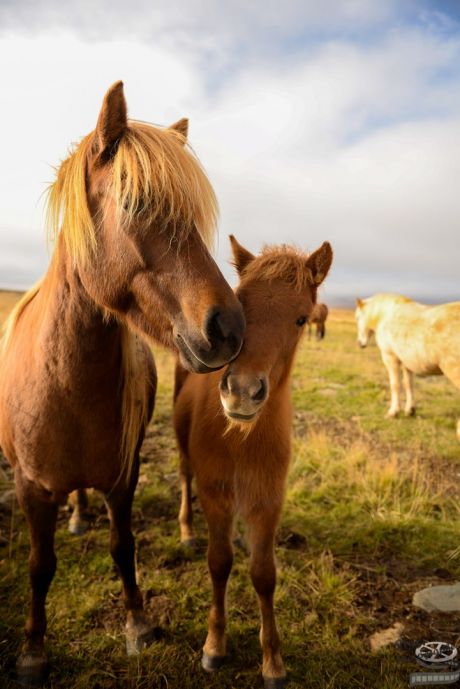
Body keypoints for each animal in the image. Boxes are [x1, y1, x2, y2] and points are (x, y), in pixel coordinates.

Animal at [0, 80, 244, 684]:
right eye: (133, 203)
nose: (230, 329)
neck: (64, 388)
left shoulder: (122, 476)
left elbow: (123, 545)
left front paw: (137, 623)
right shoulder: (30, 487)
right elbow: (39, 566)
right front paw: (33, 649)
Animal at [172, 234, 330, 684]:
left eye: (301, 319)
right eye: (240, 304)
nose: (242, 391)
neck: (242, 440)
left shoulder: (268, 500)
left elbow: (264, 575)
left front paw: (272, 661)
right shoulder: (216, 494)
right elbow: (219, 562)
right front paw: (214, 645)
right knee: (184, 478)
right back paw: (187, 531)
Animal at [356, 294, 460, 436]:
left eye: (357, 318)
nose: (360, 343)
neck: (384, 315)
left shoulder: (390, 358)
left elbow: (395, 385)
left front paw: (393, 412)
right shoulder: (406, 362)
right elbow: (408, 384)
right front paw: (410, 410)